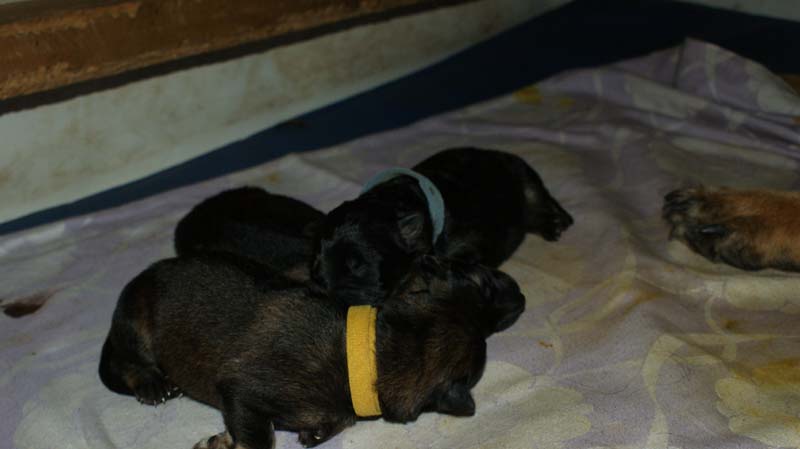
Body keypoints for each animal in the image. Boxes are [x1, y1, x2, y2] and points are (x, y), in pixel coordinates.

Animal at [98, 253, 525, 449]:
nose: (518, 298)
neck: (368, 355)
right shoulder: (242, 392)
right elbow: (260, 439)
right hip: (137, 322)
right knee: (128, 362)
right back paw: (151, 383)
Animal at [311, 147, 573, 305]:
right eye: (316, 264)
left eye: (358, 266)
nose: (329, 296)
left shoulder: (468, 246)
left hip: (522, 173)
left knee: (539, 199)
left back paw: (555, 222)